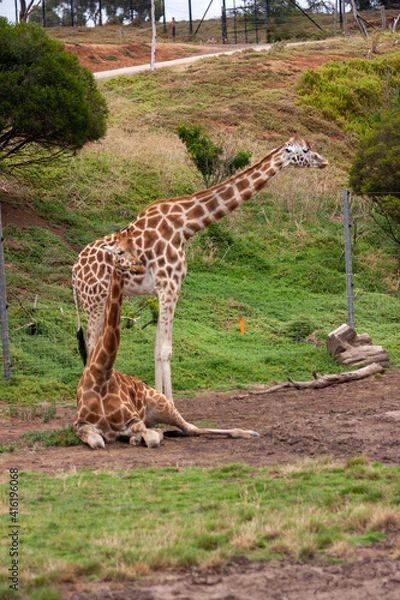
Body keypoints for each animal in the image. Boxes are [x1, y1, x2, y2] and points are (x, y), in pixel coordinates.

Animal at [72, 134, 328, 400]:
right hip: (93, 301)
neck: (186, 225)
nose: (324, 161)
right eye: (305, 150)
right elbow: (166, 350)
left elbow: (156, 349)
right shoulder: (170, 286)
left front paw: (158, 399)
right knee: (92, 347)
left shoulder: (161, 289)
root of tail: (74, 272)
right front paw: (170, 404)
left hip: (99, 301)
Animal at [73, 232, 260, 448]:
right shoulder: (80, 425)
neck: (101, 376)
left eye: (136, 249)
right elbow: (98, 440)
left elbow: (152, 437)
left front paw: (141, 437)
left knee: (191, 428)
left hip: (161, 403)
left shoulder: (133, 420)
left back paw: (250, 432)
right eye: (119, 251)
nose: (139, 267)